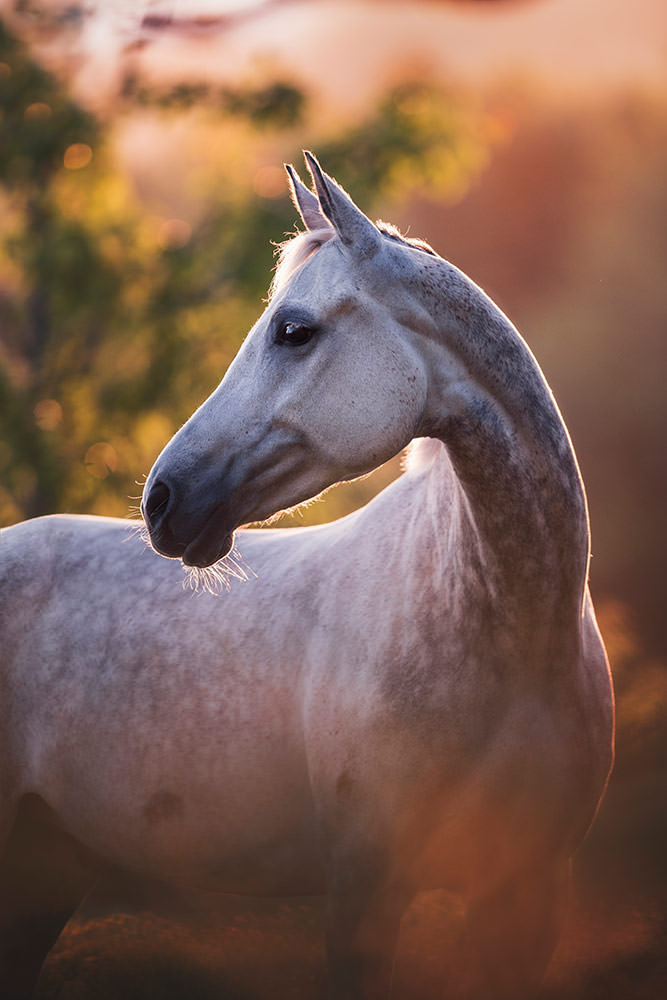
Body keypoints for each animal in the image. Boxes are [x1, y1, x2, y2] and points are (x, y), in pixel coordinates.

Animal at [0, 152, 614, 999]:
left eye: (294, 330)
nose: (163, 500)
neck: (511, 636)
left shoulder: (527, 896)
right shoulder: (365, 892)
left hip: (44, 870)